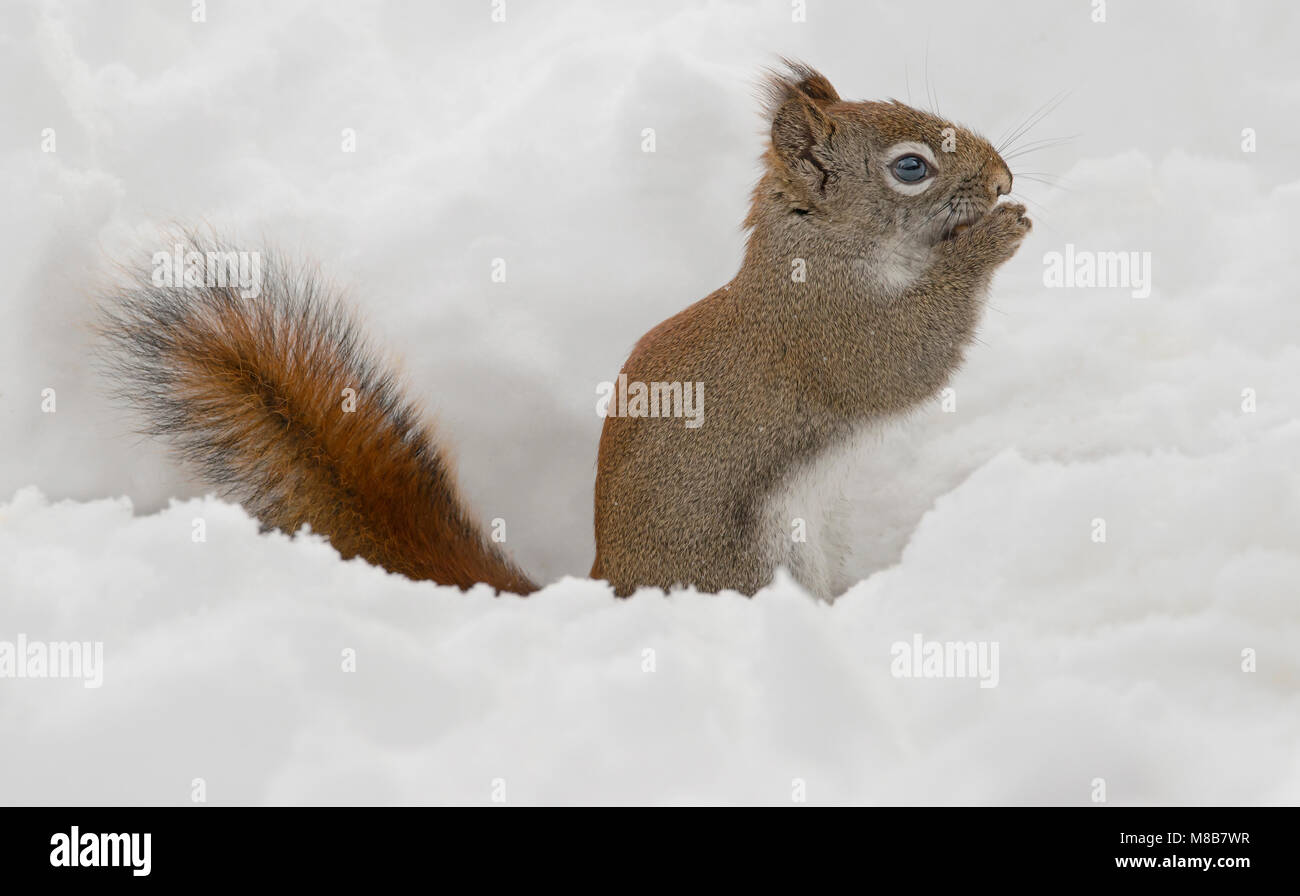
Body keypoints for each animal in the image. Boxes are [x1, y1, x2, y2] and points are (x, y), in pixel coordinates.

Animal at [101, 61, 1029, 592]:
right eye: (910, 167)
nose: (1005, 177)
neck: (816, 250)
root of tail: (605, 587)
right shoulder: (823, 335)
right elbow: (903, 362)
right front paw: (993, 240)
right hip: (736, 569)